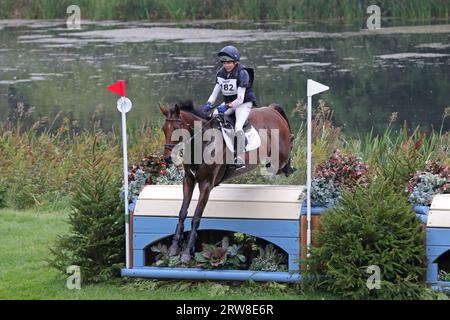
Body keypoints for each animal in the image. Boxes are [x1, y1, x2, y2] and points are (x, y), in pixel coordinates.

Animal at [159, 100, 296, 262]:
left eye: (176, 130)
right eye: (163, 130)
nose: (168, 158)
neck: (202, 142)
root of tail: (271, 109)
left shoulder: (206, 184)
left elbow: (196, 217)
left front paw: (186, 252)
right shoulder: (188, 180)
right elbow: (182, 212)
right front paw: (174, 247)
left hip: (279, 159)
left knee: (286, 156)